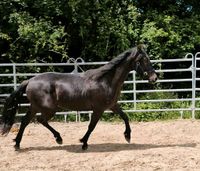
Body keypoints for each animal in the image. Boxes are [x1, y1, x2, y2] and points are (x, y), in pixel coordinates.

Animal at [0, 44, 156, 150]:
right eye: (143, 59)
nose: (154, 78)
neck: (105, 80)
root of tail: (30, 80)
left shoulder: (112, 105)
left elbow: (125, 117)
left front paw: (127, 136)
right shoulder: (99, 109)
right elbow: (92, 126)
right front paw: (84, 143)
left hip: (35, 106)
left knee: (25, 121)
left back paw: (17, 144)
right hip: (48, 109)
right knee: (40, 120)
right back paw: (58, 138)